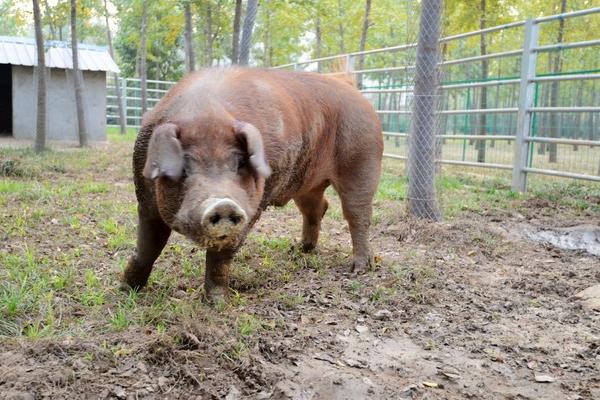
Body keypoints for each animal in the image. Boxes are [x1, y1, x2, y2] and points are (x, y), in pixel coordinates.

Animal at [123, 67, 384, 302]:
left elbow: (220, 258)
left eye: (239, 163)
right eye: (184, 168)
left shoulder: (252, 208)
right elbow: (148, 247)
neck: (206, 115)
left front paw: (217, 304)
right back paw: (301, 250)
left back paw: (359, 268)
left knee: (357, 215)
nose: (223, 204)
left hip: (362, 161)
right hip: (307, 183)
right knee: (318, 209)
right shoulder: (144, 201)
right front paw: (126, 289)